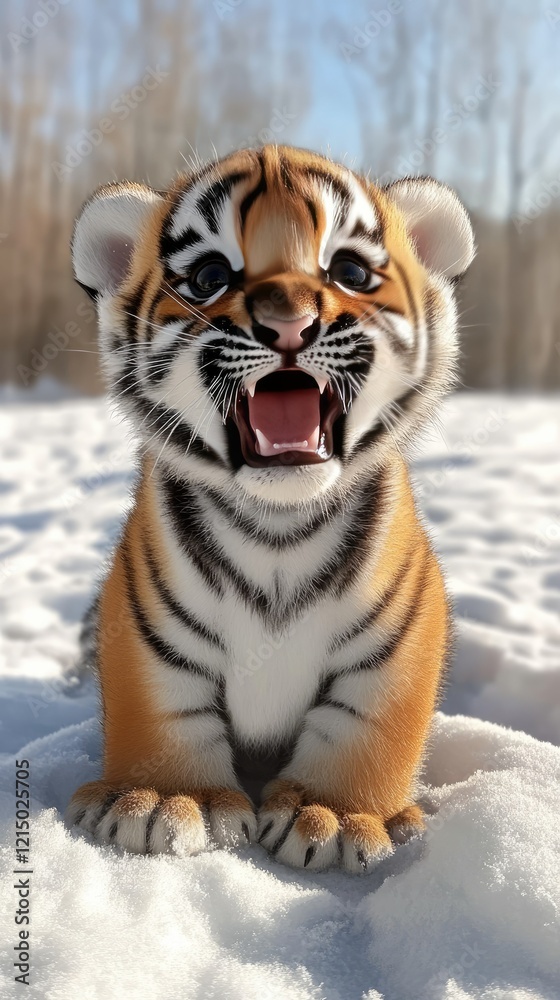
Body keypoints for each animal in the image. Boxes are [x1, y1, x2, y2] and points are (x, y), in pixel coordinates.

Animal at [66, 144, 474, 873]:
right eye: (209, 275)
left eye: (348, 270)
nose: (289, 324)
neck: (277, 525)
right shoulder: (143, 626)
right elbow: (163, 711)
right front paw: (168, 800)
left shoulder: (400, 631)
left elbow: (366, 725)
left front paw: (334, 814)